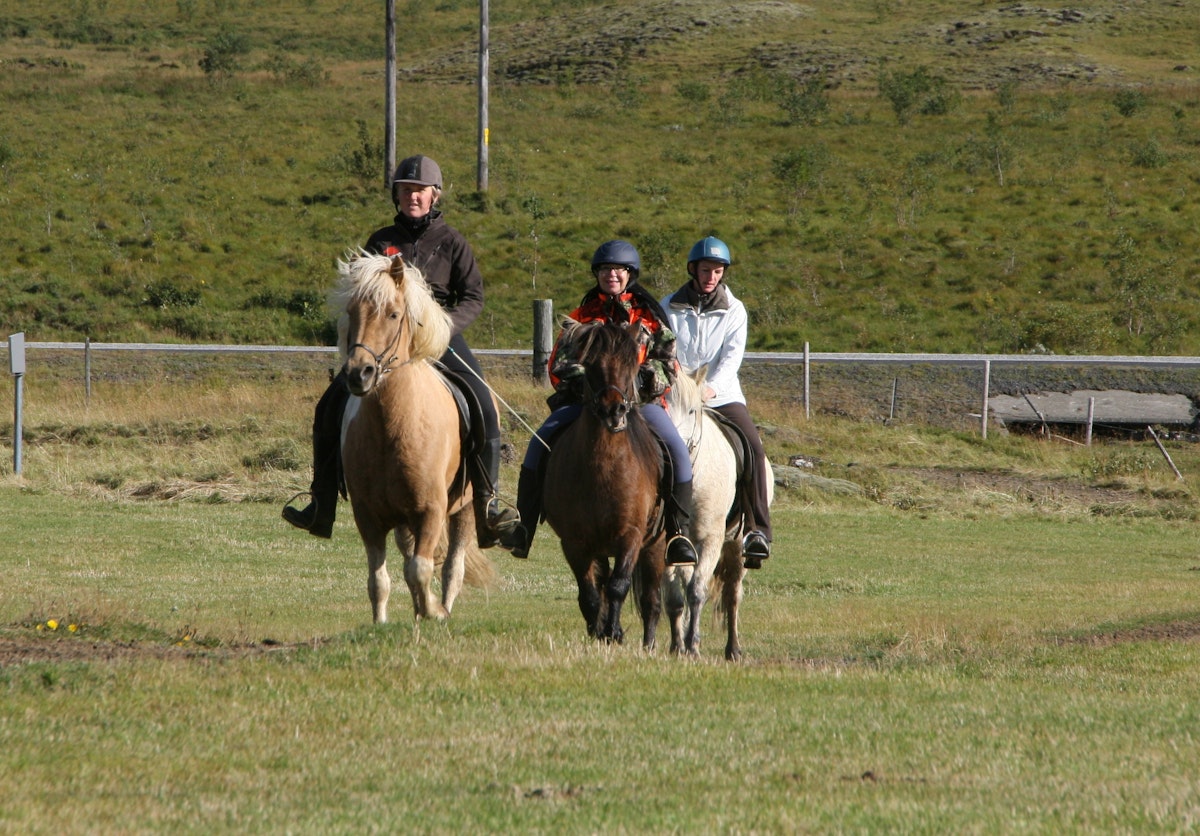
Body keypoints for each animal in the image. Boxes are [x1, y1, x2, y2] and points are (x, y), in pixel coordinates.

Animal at [333, 254, 487, 623]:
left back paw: (440, 607)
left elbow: (421, 569)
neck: (393, 424)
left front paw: (434, 611)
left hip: (464, 509)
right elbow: (380, 580)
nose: (359, 374)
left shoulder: (431, 511)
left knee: (452, 566)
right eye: (351, 312)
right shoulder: (368, 516)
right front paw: (381, 624)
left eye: (393, 314)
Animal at [542, 319, 667, 647]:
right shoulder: (575, 543)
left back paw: (648, 644)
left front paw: (613, 631)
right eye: (591, 364)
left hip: (655, 546)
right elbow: (590, 596)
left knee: (651, 600)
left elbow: (618, 587)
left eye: (631, 363)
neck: (604, 471)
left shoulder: (631, 536)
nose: (614, 410)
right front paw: (601, 633)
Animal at [662, 369, 772, 662]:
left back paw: (733, 649)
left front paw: (692, 645)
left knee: (732, 595)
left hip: (736, 547)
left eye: (691, 410)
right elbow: (674, 596)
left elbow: (697, 591)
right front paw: (677, 645)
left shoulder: (710, 540)